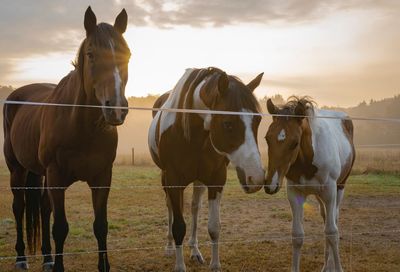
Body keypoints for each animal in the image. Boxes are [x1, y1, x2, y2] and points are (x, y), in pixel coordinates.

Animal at [3, 6, 131, 272]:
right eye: (91, 54)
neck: (81, 127)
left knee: (43, 208)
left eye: (128, 55)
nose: (116, 109)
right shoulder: (56, 177)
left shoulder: (102, 178)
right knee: (19, 208)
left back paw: (47, 258)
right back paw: (21, 258)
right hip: (17, 169)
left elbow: (100, 226)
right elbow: (60, 227)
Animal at [148, 67, 266, 270]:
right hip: (166, 179)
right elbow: (178, 226)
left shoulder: (216, 180)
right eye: (228, 124)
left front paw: (215, 265)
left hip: (198, 180)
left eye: (257, 121)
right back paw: (170, 247)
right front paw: (179, 266)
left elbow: (214, 226)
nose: (256, 178)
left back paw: (195, 250)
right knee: (170, 206)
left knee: (195, 207)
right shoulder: (173, 180)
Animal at [264, 98, 354, 272]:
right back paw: (326, 265)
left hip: (339, 188)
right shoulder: (295, 194)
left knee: (333, 220)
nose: (270, 185)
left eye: (294, 143)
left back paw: (330, 265)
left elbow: (332, 232)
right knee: (325, 218)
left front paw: (338, 268)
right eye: (267, 138)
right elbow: (297, 235)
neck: (307, 160)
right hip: (320, 196)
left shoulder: (330, 192)